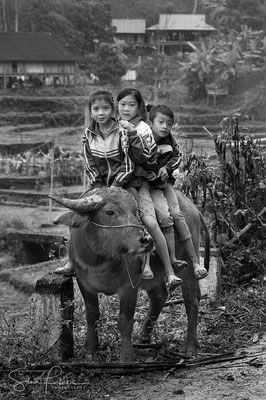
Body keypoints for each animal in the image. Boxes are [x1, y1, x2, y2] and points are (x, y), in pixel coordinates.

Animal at [51, 188, 210, 362]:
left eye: (135, 212)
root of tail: (193, 208)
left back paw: (190, 346)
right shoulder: (84, 284)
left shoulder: (129, 287)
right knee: (159, 296)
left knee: (191, 299)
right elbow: (92, 316)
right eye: (109, 212)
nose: (147, 240)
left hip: (189, 265)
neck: (100, 259)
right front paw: (90, 349)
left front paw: (127, 356)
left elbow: (125, 321)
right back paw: (144, 338)